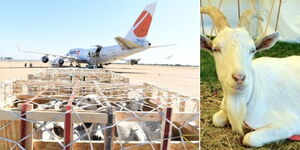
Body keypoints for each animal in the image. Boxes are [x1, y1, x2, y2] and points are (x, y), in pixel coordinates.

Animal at [200, 6, 300, 148]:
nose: (239, 77)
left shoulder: (289, 124)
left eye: (252, 50)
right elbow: (216, 119)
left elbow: (249, 138)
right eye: (215, 49)